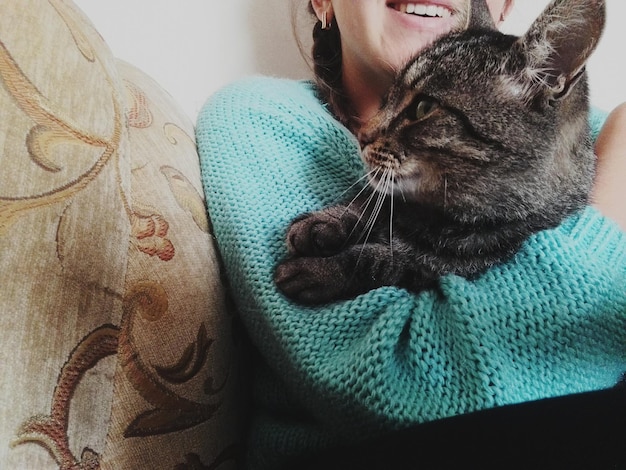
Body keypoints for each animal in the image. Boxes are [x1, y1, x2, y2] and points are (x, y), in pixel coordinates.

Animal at [274, 0, 604, 304]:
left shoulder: (445, 270)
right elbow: (369, 205)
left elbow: (377, 262)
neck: (432, 215)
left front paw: (320, 271)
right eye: (388, 97)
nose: (363, 136)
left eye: (424, 107)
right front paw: (326, 221)